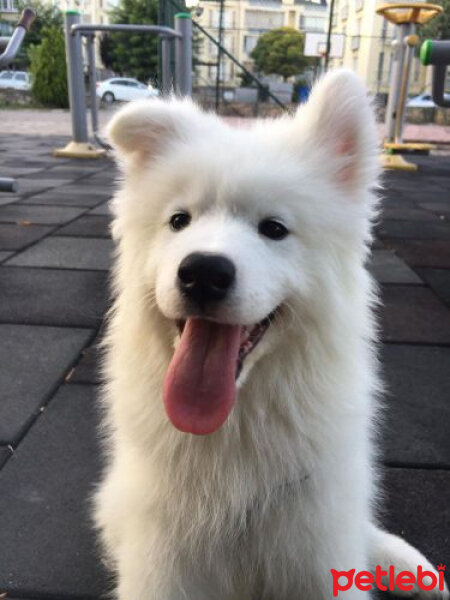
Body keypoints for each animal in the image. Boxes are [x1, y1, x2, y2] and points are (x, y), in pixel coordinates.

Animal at [94, 71, 446, 600]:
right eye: (179, 221)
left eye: (274, 229)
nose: (203, 273)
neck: (233, 429)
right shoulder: (164, 565)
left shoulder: (316, 549)